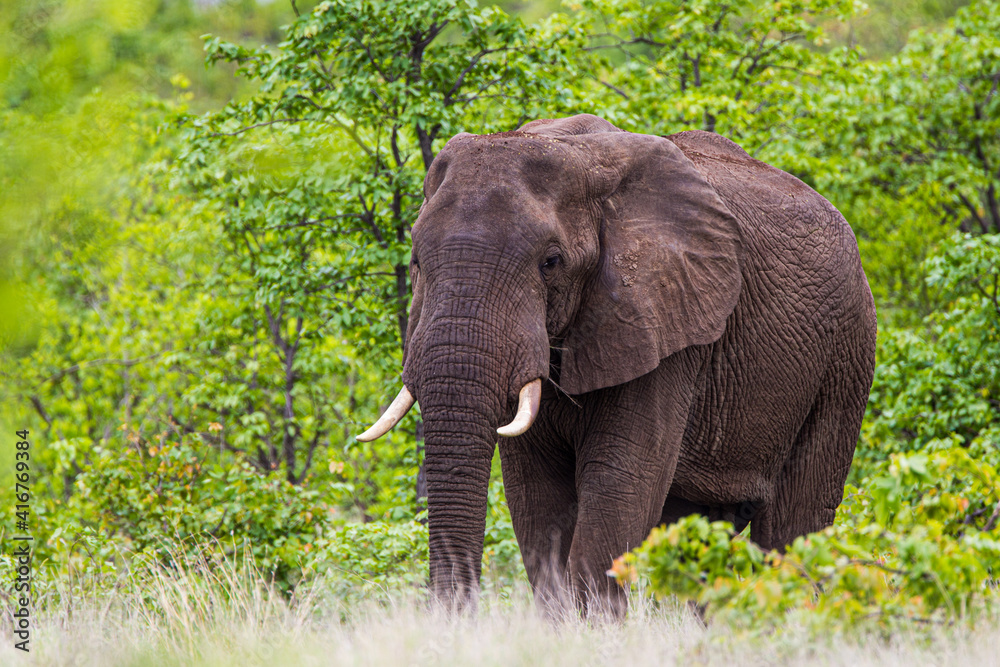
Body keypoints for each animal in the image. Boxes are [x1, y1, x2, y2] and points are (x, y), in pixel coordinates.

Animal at [358, 113, 876, 616]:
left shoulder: (666, 323)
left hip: (845, 356)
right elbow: (536, 498)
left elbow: (618, 483)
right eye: (416, 259)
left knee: (795, 526)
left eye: (551, 262)